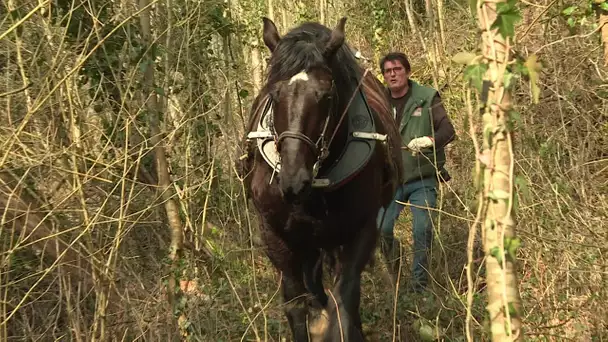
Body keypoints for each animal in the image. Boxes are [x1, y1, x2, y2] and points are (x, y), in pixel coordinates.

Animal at [238, 16, 404, 342]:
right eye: (273, 94)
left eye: (327, 95)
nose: (293, 180)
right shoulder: (275, 235)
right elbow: (296, 304)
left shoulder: (361, 230)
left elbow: (344, 303)